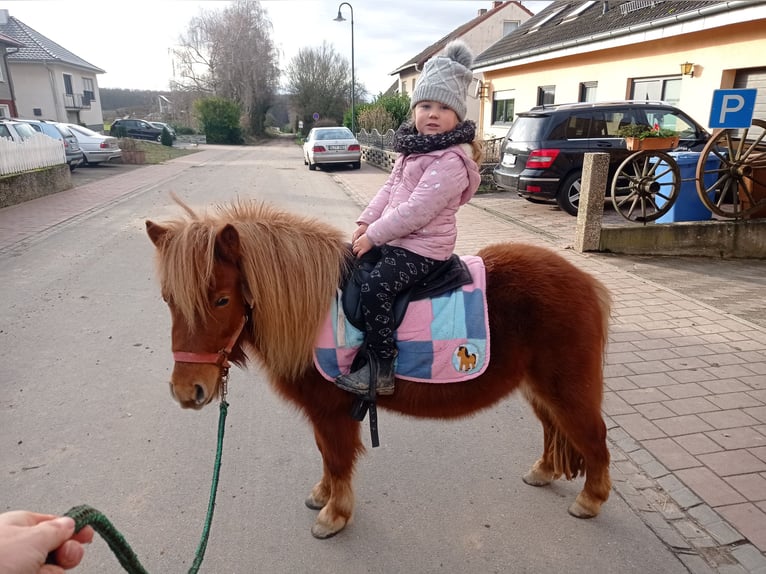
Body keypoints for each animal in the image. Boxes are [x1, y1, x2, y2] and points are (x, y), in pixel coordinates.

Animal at [146, 199, 612, 540]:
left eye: (222, 299)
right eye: (168, 299)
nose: (188, 391)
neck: (314, 310)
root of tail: (589, 283)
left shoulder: (333, 412)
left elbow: (337, 458)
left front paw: (334, 515)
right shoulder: (325, 414)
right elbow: (325, 455)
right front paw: (323, 496)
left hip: (568, 388)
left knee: (592, 436)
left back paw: (590, 500)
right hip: (539, 388)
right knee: (554, 429)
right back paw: (544, 472)